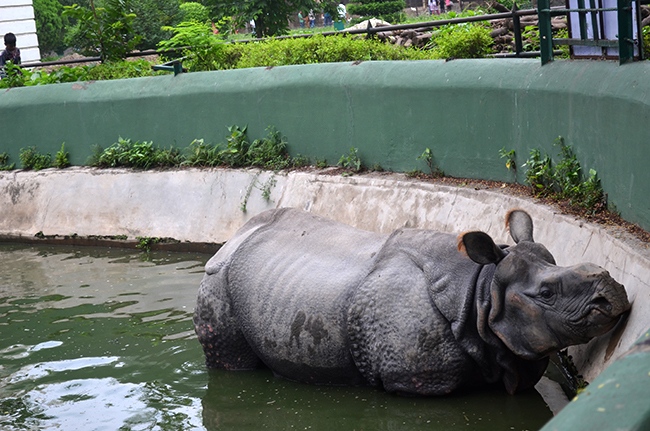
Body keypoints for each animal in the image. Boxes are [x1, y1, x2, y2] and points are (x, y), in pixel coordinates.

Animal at [194, 208, 630, 395]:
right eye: (546, 294)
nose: (612, 292)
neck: (481, 292)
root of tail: (234, 237)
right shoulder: (418, 380)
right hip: (218, 281)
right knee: (230, 358)